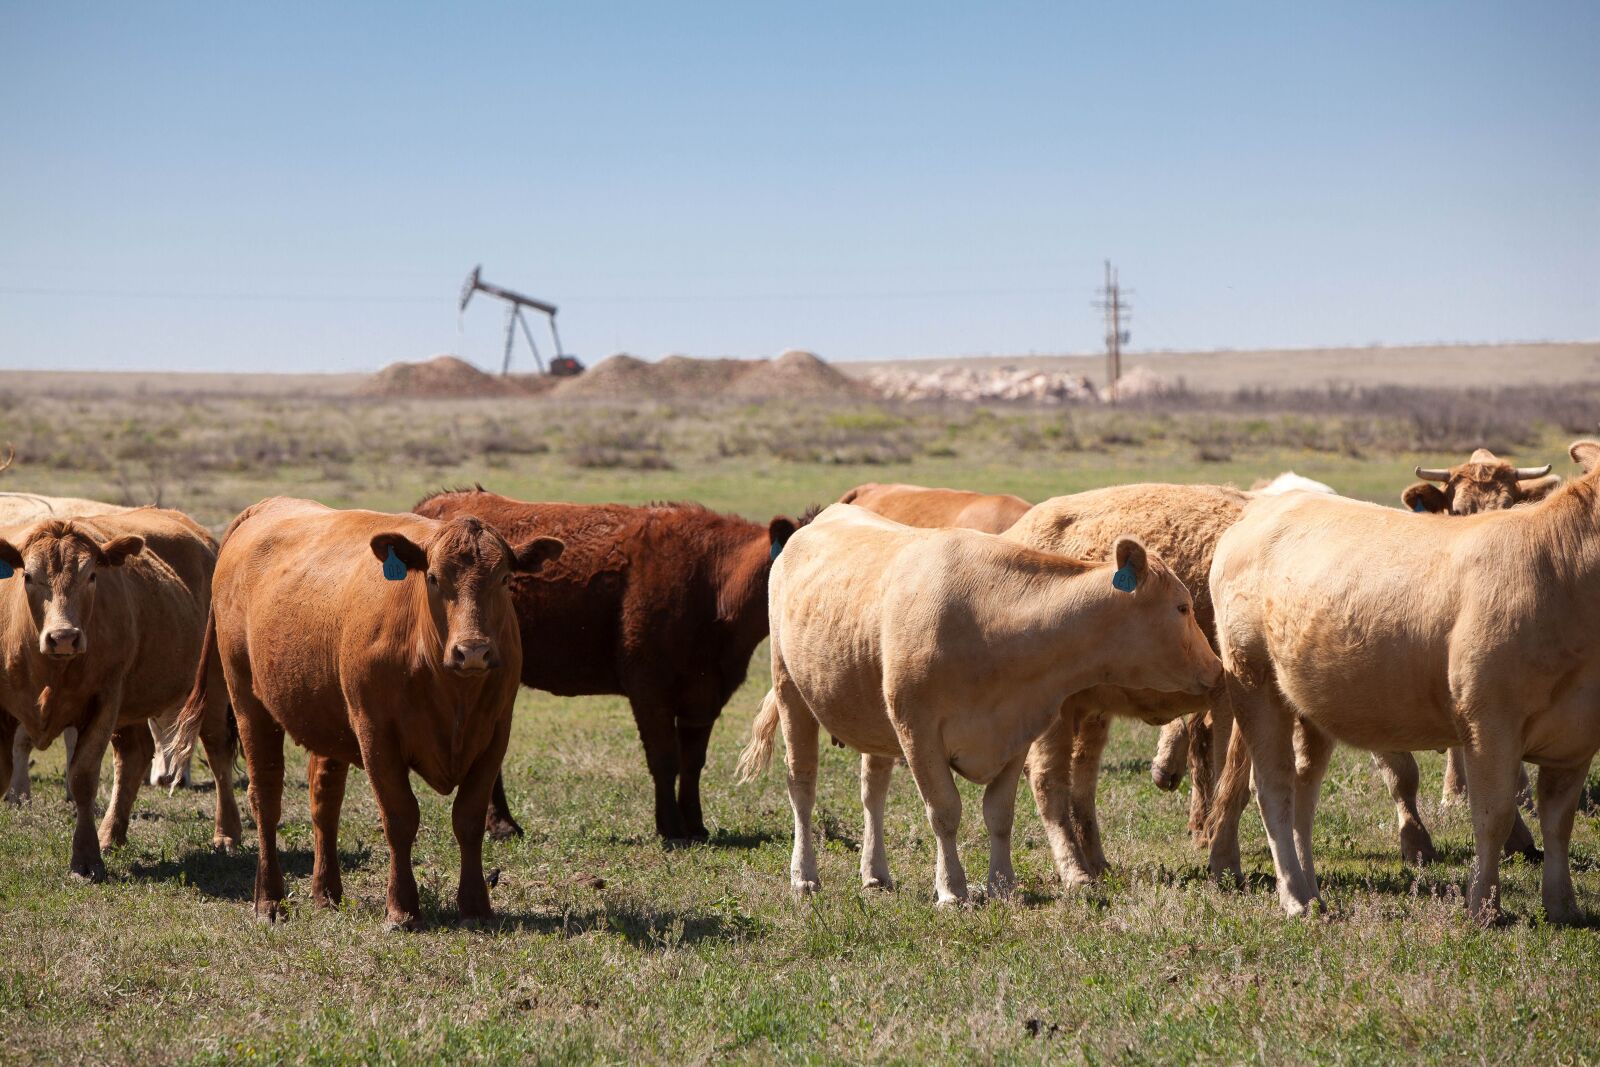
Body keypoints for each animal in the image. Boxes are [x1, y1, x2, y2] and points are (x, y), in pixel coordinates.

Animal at [0, 509, 241, 880]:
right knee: (134, 756)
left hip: (211, 687)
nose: (63, 636)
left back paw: (226, 835)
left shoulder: (104, 698)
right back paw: (111, 834)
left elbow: (83, 777)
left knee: (217, 754)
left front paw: (86, 860)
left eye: (92, 576)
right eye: (27, 576)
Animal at [162, 497, 563, 929]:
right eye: (434, 578)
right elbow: (400, 816)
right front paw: (402, 908)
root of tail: (266, 506)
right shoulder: (377, 734)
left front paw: (476, 907)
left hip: (328, 721)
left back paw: (327, 893)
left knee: (325, 802)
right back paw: (269, 900)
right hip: (248, 703)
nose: (472, 651)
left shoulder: (494, 734)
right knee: (266, 797)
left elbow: (469, 818)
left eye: (504, 579)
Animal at [411, 489, 808, 844]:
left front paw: (695, 825)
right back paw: (502, 826)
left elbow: (693, 761)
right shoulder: (649, 688)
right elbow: (664, 759)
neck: (714, 583)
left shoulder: (705, 694)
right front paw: (671, 828)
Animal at [737, 503, 1220, 903]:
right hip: (790, 691)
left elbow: (999, 814)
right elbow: (944, 811)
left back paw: (875, 874)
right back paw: (804, 876)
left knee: (872, 791)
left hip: (873, 714)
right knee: (802, 785)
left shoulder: (1018, 729)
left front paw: (1003, 885)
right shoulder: (919, 733)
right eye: (1182, 607)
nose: (1217, 669)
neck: (995, 624)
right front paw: (952, 889)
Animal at [1205, 441, 1600, 923]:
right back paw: (1295, 896)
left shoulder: (1577, 737)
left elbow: (1558, 822)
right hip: (1254, 682)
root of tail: (1258, 512)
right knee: (1272, 787)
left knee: (1303, 791)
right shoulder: (1489, 722)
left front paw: (1563, 906)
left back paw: (1312, 891)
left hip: (1310, 704)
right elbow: (1494, 814)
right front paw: (1483, 907)